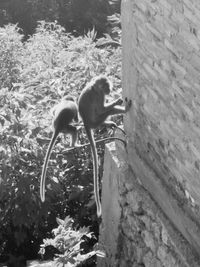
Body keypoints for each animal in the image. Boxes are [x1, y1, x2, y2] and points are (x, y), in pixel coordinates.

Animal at [77, 76, 131, 218]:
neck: (94, 87)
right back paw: (124, 110)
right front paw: (117, 100)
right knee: (107, 111)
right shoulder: (99, 95)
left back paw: (109, 123)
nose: (110, 89)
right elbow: (102, 109)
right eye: (107, 86)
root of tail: (87, 124)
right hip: (97, 120)